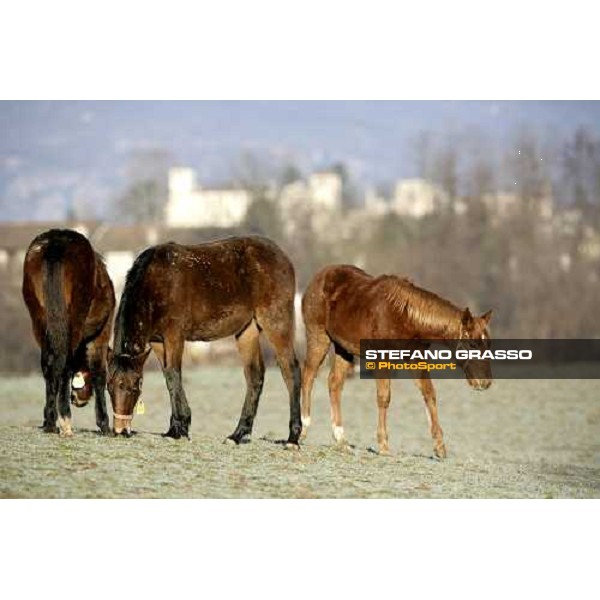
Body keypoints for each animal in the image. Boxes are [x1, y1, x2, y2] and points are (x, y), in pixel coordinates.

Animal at [22, 229, 116, 436]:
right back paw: (65, 420)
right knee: (65, 365)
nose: (78, 399)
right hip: (74, 325)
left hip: (40, 322)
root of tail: (56, 243)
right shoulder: (101, 335)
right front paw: (104, 424)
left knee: (48, 365)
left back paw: (51, 422)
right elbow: (99, 373)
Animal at [108, 234, 302, 446]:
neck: (155, 281)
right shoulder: (157, 342)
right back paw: (238, 434)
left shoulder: (174, 336)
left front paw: (180, 428)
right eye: (109, 387)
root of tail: (283, 257)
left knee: (290, 370)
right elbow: (168, 377)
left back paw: (293, 438)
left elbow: (174, 374)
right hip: (247, 331)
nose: (120, 430)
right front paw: (175, 428)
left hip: (276, 323)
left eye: (134, 386)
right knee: (255, 376)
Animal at [300, 264, 492, 458]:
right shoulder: (381, 359)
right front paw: (383, 445)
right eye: (472, 344)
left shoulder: (416, 359)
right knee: (308, 376)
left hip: (343, 348)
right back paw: (303, 430)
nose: (484, 383)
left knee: (334, 383)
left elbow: (429, 393)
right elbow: (384, 397)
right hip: (318, 337)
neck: (405, 316)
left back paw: (341, 440)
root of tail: (320, 276)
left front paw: (439, 447)